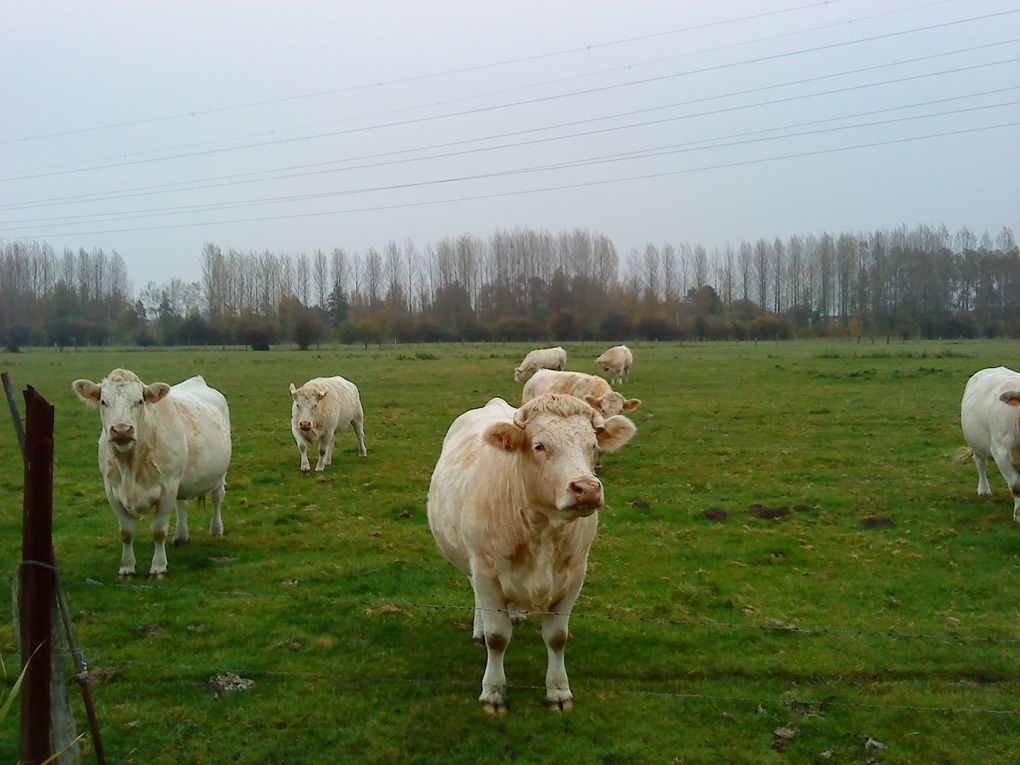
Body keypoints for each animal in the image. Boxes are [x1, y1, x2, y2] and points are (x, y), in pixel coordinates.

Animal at [71, 369, 231, 579]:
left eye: (140, 400)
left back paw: (216, 529)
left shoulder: (167, 487)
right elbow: (126, 532)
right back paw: (181, 536)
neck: (129, 466)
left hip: (218, 473)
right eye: (103, 401)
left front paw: (158, 567)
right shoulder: (112, 491)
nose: (122, 430)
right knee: (182, 504)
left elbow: (158, 531)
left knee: (217, 497)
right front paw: (127, 568)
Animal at [424, 395, 632, 714]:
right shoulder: (486, 572)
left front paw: (558, 691)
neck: (543, 532)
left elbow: (557, 638)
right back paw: (479, 630)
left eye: (593, 445)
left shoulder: (575, 575)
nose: (587, 489)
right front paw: (493, 693)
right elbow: (497, 638)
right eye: (539, 446)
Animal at [954, 369, 1020, 526]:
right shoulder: (1001, 453)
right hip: (976, 445)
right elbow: (1016, 486)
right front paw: (1018, 515)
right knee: (980, 465)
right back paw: (983, 490)